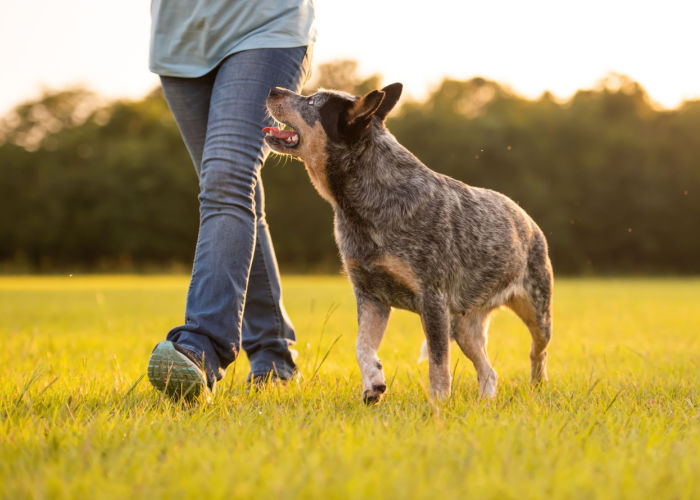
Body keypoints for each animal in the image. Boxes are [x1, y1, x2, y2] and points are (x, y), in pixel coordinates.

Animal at [262, 82, 552, 402]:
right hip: (464, 325)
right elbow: (362, 346)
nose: (274, 89)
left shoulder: (432, 298)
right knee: (489, 372)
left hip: (537, 311)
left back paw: (537, 388)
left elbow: (438, 363)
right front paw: (373, 384)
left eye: (313, 101)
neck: (366, 203)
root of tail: (526, 218)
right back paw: (485, 404)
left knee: (538, 352)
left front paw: (438, 405)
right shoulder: (371, 296)